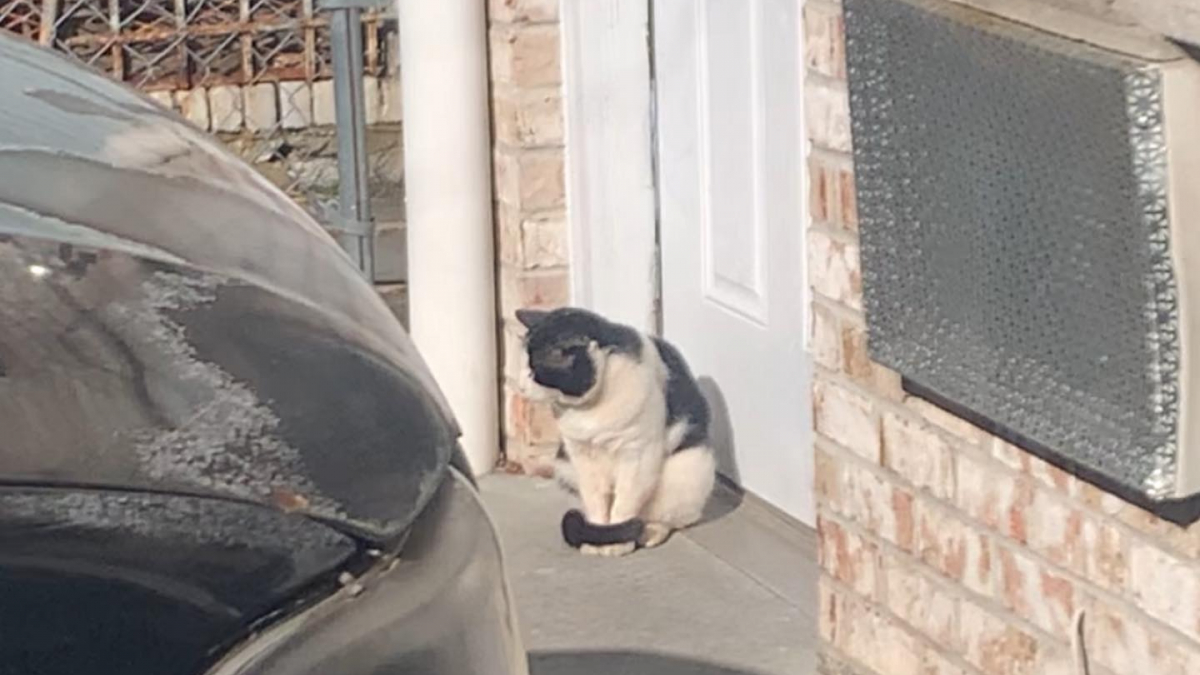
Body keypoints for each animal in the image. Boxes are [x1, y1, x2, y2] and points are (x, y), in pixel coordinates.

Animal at [513, 305, 710, 552]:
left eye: (534, 372)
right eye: (521, 367)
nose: (519, 387)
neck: (590, 412)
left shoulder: (637, 455)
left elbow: (625, 503)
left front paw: (617, 544)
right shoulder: (581, 455)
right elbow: (596, 500)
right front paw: (597, 540)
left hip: (687, 470)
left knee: (669, 517)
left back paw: (650, 532)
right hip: (565, 468)